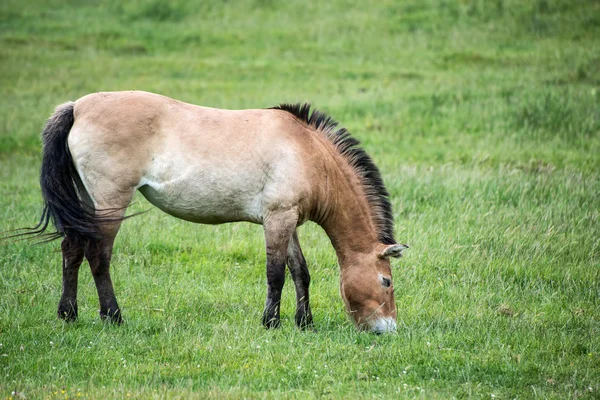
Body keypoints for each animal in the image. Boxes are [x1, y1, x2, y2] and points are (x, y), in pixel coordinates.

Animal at [16, 92, 408, 332]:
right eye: (386, 282)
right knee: (99, 256)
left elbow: (301, 272)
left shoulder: (288, 221)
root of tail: (77, 107)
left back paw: (68, 314)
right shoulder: (277, 219)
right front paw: (272, 323)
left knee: (72, 249)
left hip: (85, 201)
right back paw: (113, 316)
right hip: (111, 200)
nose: (388, 329)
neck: (307, 151)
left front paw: (305, 323)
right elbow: (276, 274)